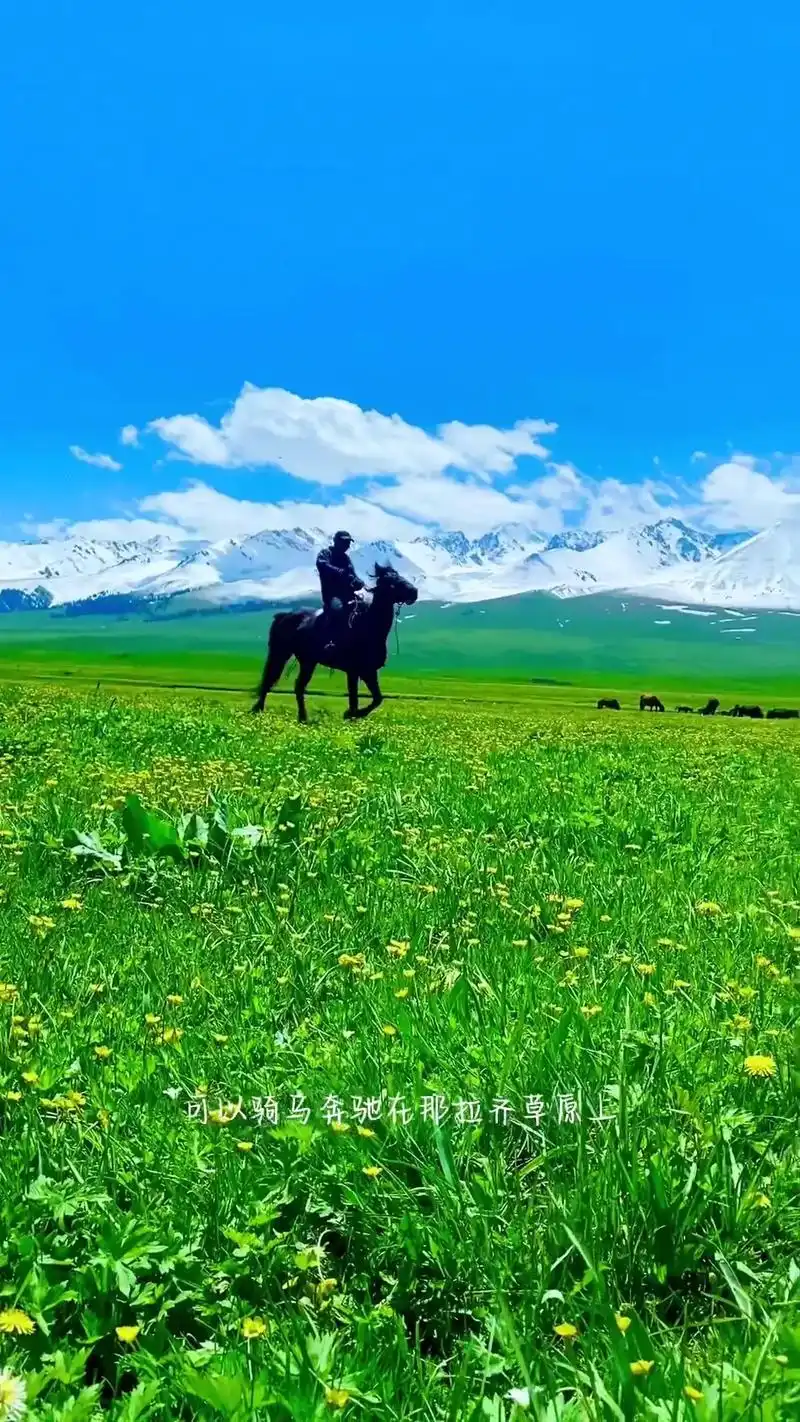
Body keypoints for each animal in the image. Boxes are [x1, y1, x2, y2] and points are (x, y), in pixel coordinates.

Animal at [251, 563, 419, 723]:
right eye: (392, 582)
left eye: (399, 576)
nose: (414, 592)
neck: (367, 626)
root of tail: (284, 615)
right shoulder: (354, 671)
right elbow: (355, 698)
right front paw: (351, 714)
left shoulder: (369, 672)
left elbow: (377, 698)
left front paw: (353, 715)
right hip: (281, 653)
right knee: (270, 680)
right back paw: (258, 710)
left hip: (308, 661)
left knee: (298, 686)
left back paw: (303, 718)